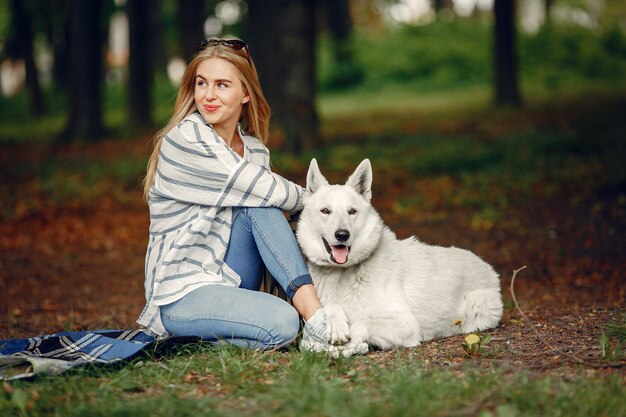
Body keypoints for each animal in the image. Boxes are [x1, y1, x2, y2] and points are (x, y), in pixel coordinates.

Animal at [294, 159, 502, 352]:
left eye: (352, 211)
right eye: (325, 211)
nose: (342, 235)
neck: (344, 272)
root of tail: (488, 267)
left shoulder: (406, 325)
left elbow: (362, 323)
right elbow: (331, 307)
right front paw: (336, 326)